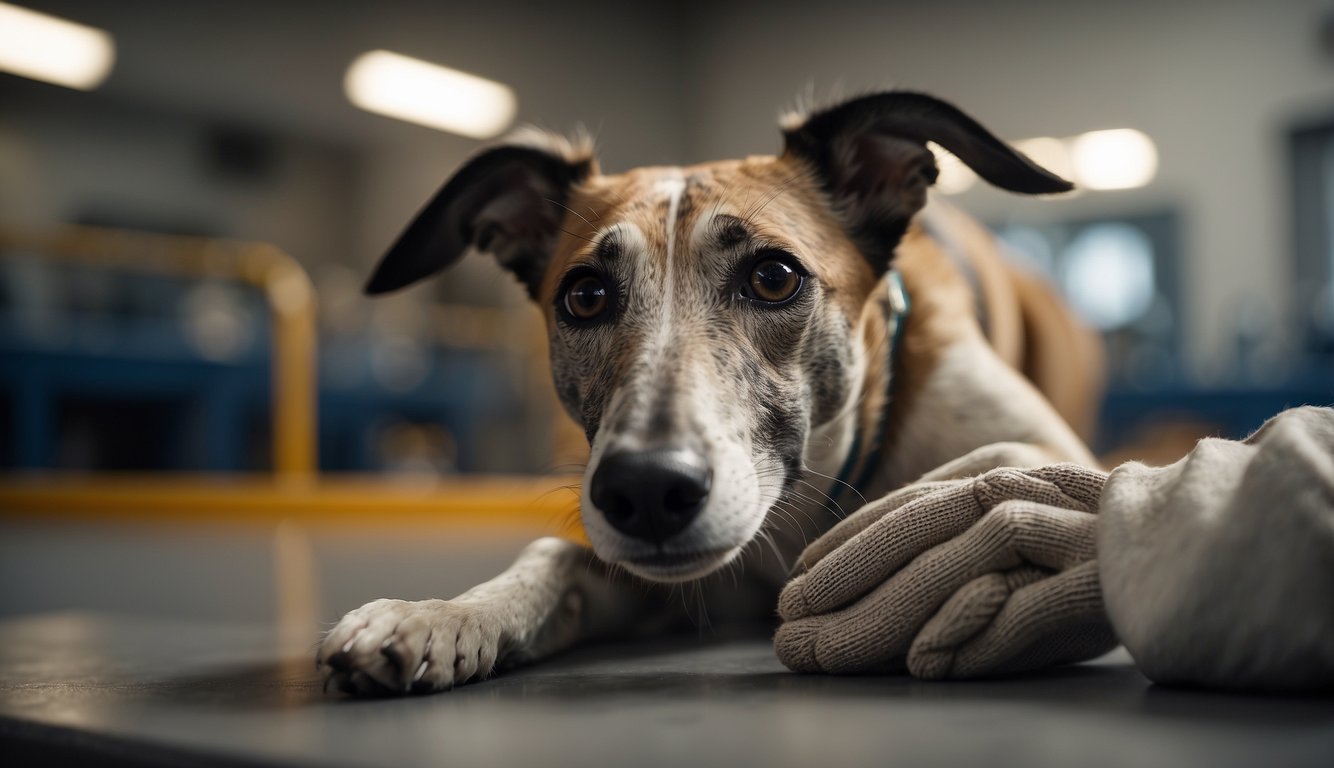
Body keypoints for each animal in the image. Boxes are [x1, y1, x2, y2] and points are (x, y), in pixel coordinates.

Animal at [317, 91, 1099, 693]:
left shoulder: (1038, 441)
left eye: (774, 277)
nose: (645, 491)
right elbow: (556, 556)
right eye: (585, 295)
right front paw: (439, 615)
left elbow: (1016, 467)